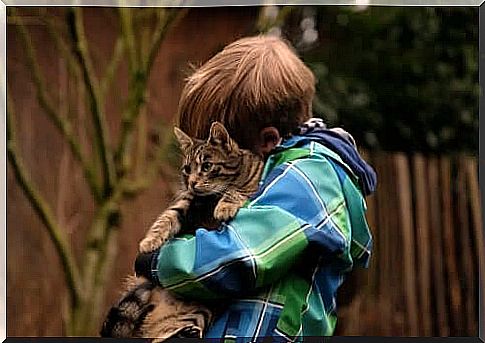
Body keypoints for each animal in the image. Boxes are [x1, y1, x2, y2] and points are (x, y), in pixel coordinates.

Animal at [99, 122, 262, 342]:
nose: (191, 182)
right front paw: (149, 242)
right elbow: (166, 218)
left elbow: (236, 190)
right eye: (187, 169)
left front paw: (225, 205)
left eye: (206, 166)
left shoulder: (249, 184)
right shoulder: (185, 201)